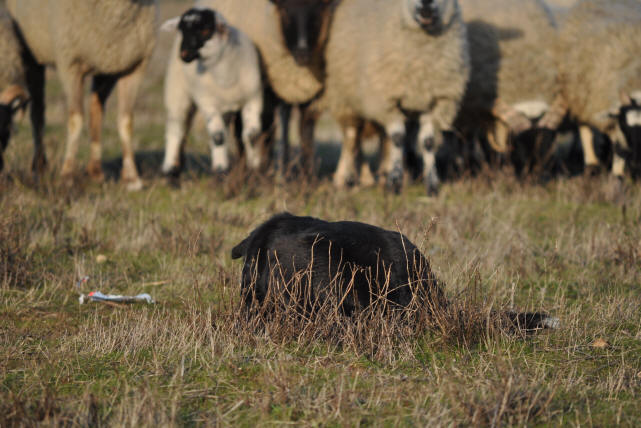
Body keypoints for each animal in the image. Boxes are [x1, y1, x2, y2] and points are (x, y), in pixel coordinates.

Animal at [7, 0, 159, 191]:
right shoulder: (70, 64)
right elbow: (76, 120)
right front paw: (67, 175)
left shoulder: (133, 67)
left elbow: (126, 122)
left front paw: (131, 178)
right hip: (31, 53)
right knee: (38, 113)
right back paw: (39, 166)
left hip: (105, 66)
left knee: (95, 109)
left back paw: (95, 170)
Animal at [161, 7, 268, 177]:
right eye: (182, 30)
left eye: (205, 30)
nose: (183, 55)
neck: (225, 78)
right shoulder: (207, 103)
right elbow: (218, 137)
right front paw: (220, 168)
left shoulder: (253, 99)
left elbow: (251, 135)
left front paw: (254, 167)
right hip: (177, 92)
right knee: (175, 128)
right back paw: (169, 168)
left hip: (224, 109)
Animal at [318, 0, 468, 195]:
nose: (426, 4)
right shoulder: (387, 101)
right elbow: (397, 138)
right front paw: (395, 183)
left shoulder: (438, 102)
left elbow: (428, 142)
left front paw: (432, 184)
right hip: (346, 98)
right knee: (352, 138)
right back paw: (345, 180)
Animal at [556, 0, 640, 179]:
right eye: (626, 127)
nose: (637, 162)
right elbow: (619, 150)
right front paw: (617, 176)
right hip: (580, 93)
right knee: (585, 128)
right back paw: (592, 164)